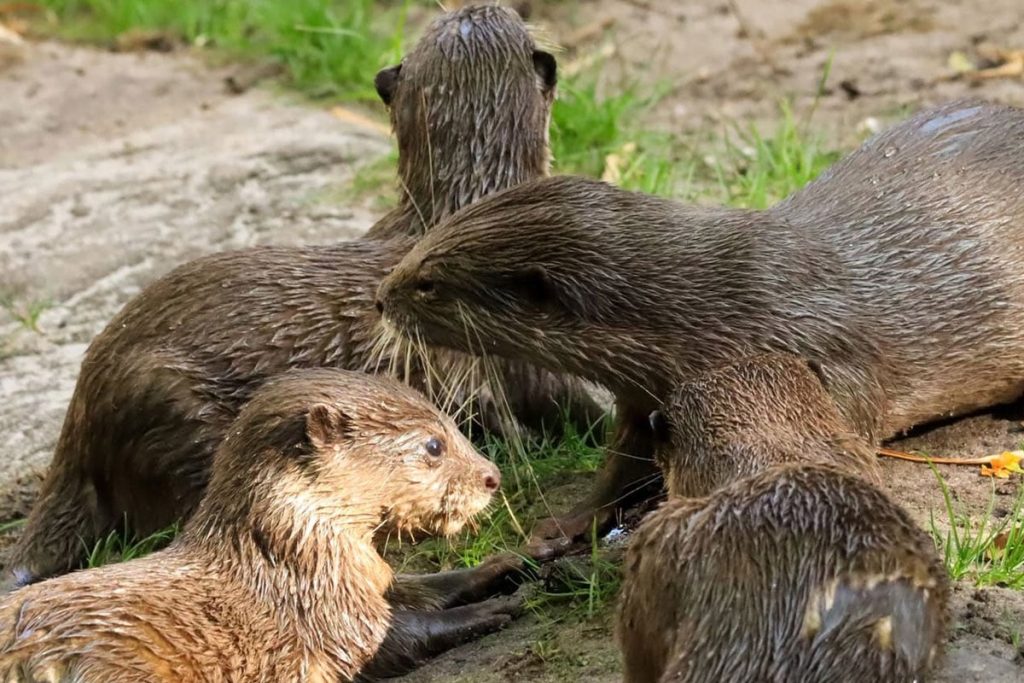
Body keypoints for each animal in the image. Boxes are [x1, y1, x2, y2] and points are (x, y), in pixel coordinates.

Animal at [0, 369, 516, 682]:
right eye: (434, 445)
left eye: (453, 424)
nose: (492, 475)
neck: (286, 561)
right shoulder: (324, 614)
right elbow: (396, 636)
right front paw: (492, 611)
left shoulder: (372, 579)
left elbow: (428, 586)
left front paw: (510, 563)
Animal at [377, 99, 1024, 552]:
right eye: (423, 240)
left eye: (428, 280)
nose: (382, 296)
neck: (722, 309)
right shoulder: (641, 392)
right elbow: (620, 466)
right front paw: (564, 525)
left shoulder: (830, 352)